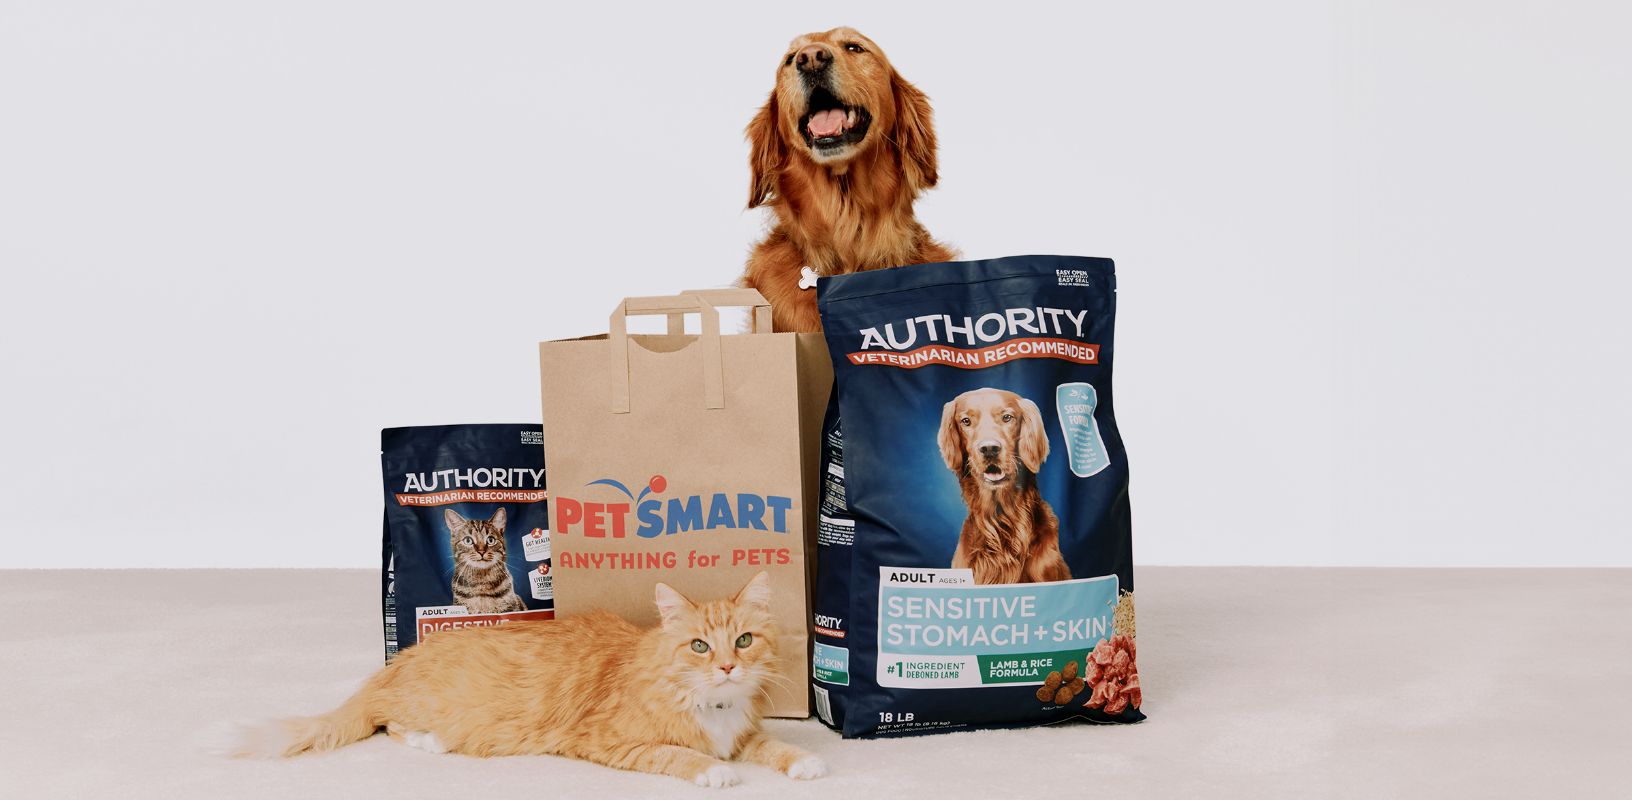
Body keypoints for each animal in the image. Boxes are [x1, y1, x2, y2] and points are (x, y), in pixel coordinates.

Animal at [213, 574, 829, 786]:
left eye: (743, 641)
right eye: (700, 646)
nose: (727, 667)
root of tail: (397, 660)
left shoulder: (745, 734)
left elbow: (774, 745)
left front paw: (805, 763)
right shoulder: (607, 741)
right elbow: (678, 755)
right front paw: (712, 772)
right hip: (428, 711)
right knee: (390, 727)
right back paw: (432, 742)